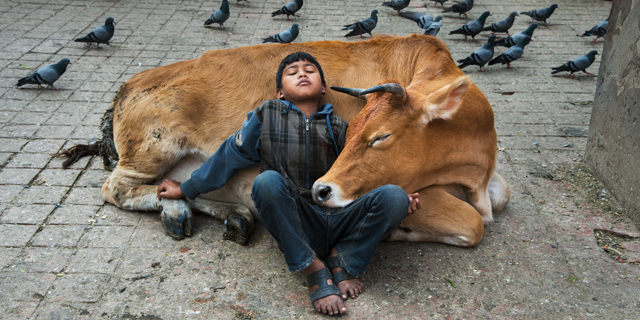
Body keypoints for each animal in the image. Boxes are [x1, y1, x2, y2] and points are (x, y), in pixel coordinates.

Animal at [63, 34, 504, 245]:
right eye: (358, 133)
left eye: (381, 137)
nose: (323, 190)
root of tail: (132, 82)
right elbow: (473, 222)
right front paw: (398, 231)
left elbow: (501, 197)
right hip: (155, 146)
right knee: (117, 187)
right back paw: (179, 209)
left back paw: (232, 214)